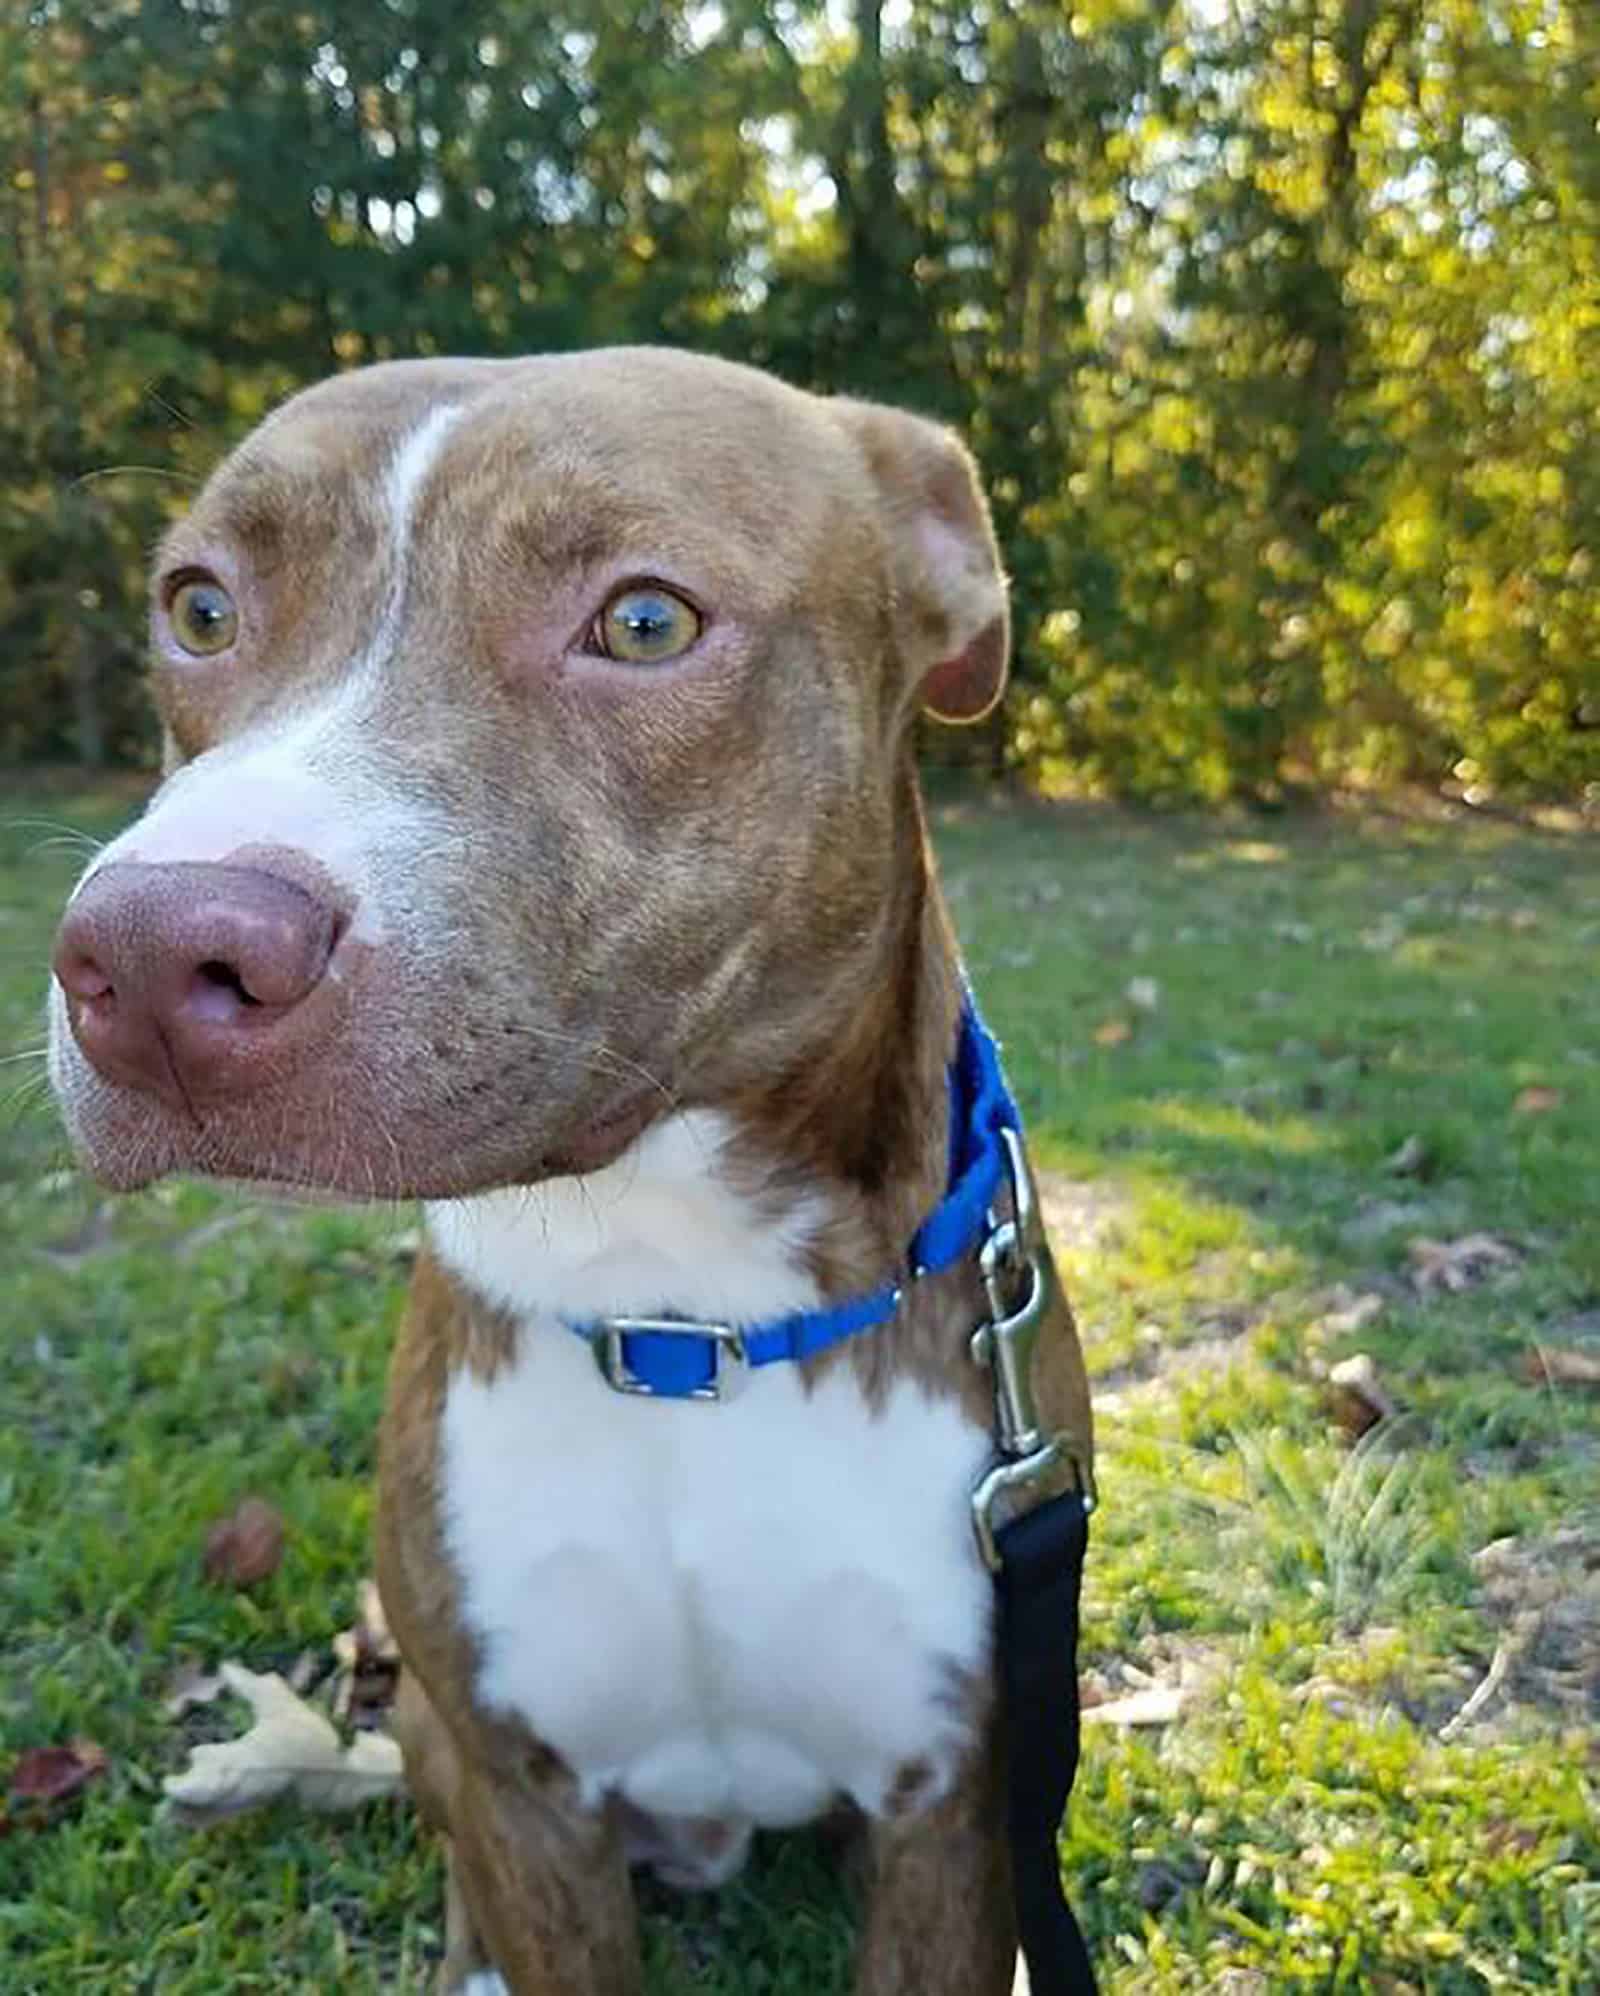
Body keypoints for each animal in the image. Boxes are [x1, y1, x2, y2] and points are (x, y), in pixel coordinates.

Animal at [52, 351, 1101, 1988]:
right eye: (201, 608)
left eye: (646, 621)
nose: (156, 956)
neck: (683, 1308)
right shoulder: (525, 1787)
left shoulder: (951, 1798)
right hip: (436, 1729)